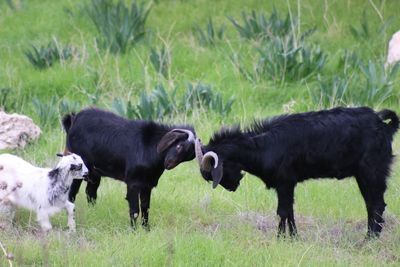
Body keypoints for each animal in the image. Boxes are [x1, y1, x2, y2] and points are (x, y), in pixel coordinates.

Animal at [61, 108, 197, 229]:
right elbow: (135, 210)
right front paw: (134, 230)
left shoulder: (147, 184)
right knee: (71, 194)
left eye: (189, 155)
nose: (169, 163)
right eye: (179, 146)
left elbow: (146, 207)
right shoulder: (133, 183)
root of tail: (73, 119)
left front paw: (146, 229)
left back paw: (93, 214)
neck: (150, 148)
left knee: (91, 193)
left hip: (94, 173)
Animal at [195, 108, 396, 238]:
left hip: (372, 171)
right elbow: (288, 211)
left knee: (376, 204)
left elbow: (283, 210)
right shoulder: (284, 185)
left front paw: (284, 238)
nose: (232, 187)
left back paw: (370, 239)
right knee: (372, 204)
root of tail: (383, 125)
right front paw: (290, 237)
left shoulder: (285, 181)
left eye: (212, 174)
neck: (263, 146)